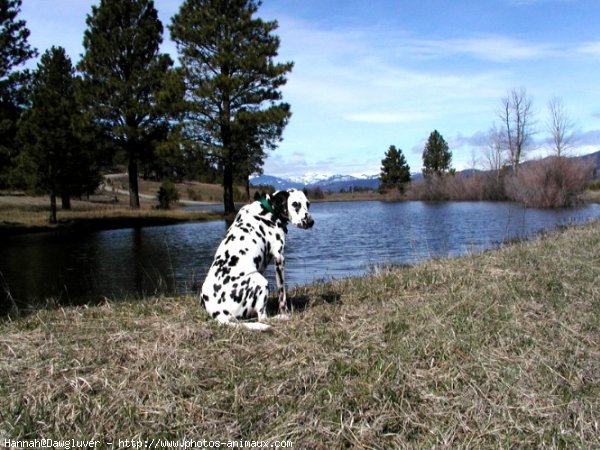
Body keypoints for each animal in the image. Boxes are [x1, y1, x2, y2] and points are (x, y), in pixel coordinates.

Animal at [200, 188, 314, 328]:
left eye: (308, 204)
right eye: (295, 204)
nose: (311, 222)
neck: (267, 211)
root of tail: (219, 314)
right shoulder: (279, 259)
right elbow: (282, 295)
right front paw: (285, 311)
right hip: (261, 282)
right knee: (262, 318)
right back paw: (280, 317)